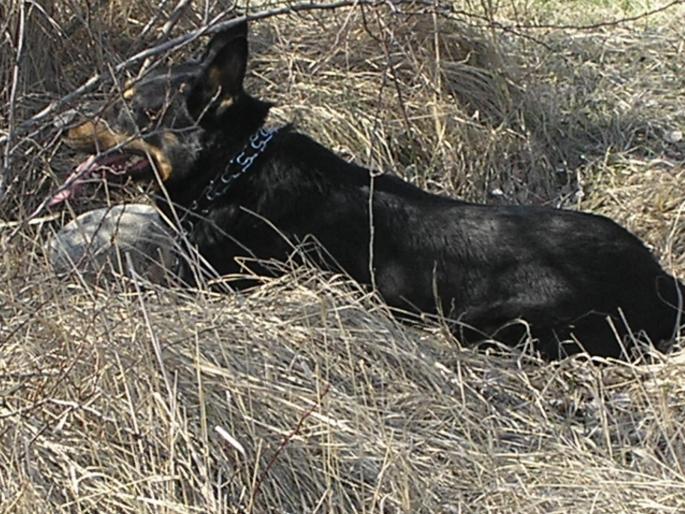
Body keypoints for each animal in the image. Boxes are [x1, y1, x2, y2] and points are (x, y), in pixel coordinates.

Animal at [57, 19, 680, 356]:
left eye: (126, 107)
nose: (63, 128)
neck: (235, 167)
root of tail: (660, 282)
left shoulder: (210, 281)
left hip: (487, 322)